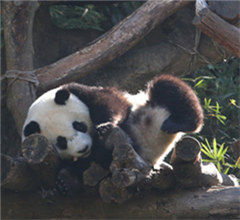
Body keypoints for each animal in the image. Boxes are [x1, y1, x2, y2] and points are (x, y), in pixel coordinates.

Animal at [22, 74, 203, 191]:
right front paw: (65, 180)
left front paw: (105, 127)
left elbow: (111, 103)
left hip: (150, 107)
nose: (83, 148)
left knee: (167, 87)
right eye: (61, 142)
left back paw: (179, 122)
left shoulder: (83, 92)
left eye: (78, 125)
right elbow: (92, 162)